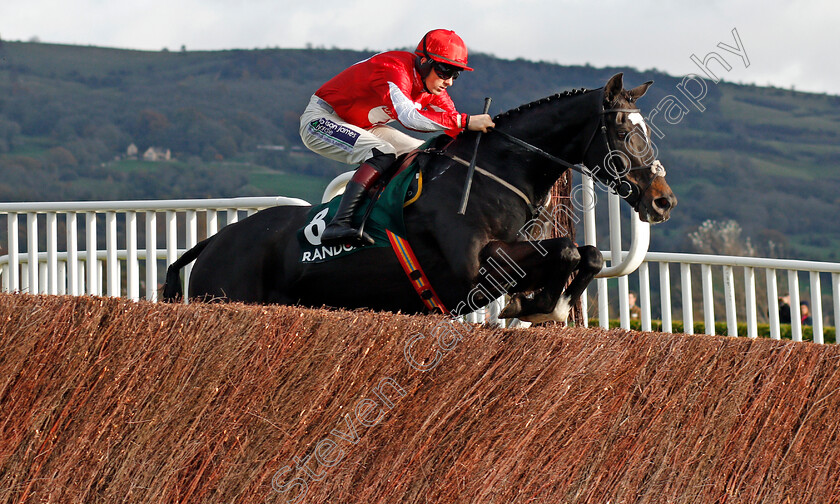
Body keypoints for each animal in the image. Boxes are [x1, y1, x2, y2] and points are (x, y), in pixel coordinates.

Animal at [162, 73, 676, 324]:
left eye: (646, 131)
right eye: (624, 132)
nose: (663, 201)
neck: (497, 171)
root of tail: (215, 241)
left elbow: (587, 252)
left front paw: (545, 303)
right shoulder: (475, 266)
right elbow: (569, 249)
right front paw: (542, 304)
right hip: (223, 292)